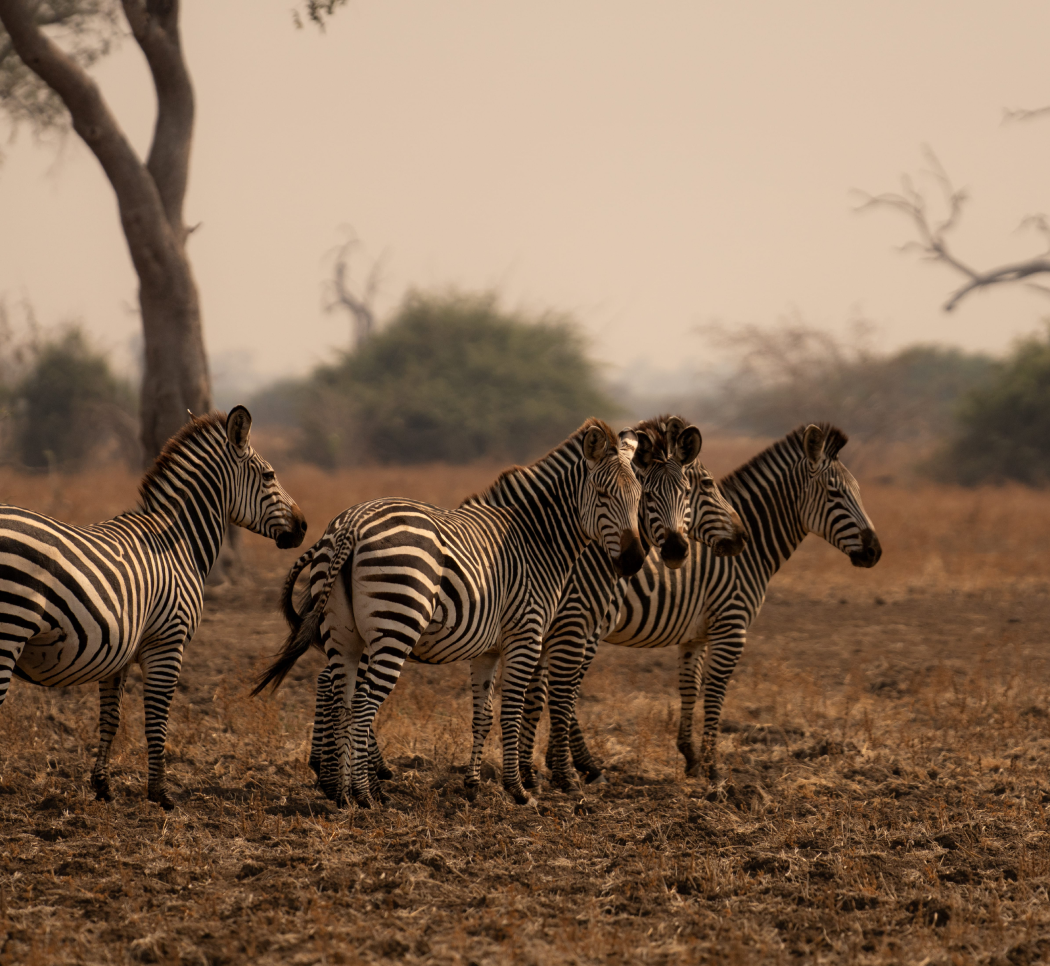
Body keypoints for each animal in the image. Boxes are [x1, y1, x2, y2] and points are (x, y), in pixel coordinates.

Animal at [0, 407, 307, 809]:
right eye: (270, 475)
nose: (304, 527)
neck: (178, 542)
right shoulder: (167, 642)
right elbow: (157, 720)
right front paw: (161, 794)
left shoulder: (119, 649)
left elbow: (111, 718)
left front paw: (103, 787)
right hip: (9, 629)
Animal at [254, 419, 645, 808]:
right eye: (603, 495)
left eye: (639, 497)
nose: (634, 561)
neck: (538, 539)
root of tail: (352, 523)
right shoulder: (527, 635)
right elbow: (513, 711)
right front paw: (518, 790)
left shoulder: (488, 648)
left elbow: (483, 715)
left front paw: (473, 786)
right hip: (396, 626)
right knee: (363, 704)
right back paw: (365, 794)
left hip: (343, 633)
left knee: (343, 701)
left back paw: (343, 793)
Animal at [520, 422, 881, 787]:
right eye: (835, 493)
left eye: (857, 491)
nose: (875, 552)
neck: (750, 557)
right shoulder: (731, 628)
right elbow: (715, 693)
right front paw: (712, 768)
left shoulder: (696, 637)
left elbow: (689, 688)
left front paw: (691, 758)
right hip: (579, 623)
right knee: (562, 688)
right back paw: (580, 766)